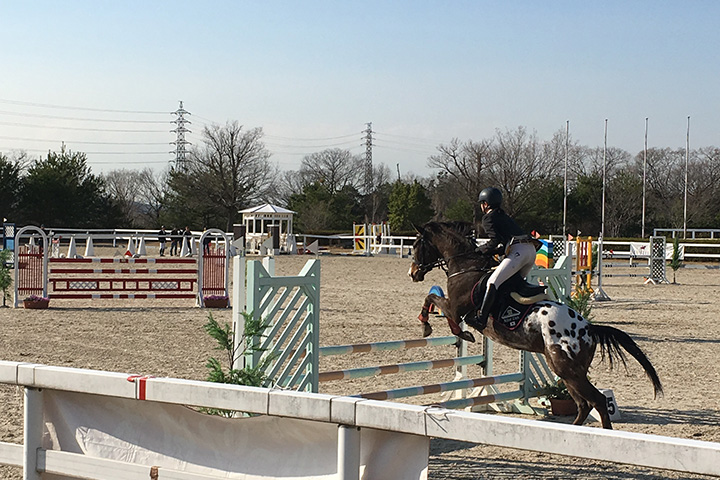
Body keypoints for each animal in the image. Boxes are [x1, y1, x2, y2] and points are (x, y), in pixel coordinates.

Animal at [407, 221, 663, 429]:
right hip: (565, 371)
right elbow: (433, 300)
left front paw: (433, 327)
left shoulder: (455, 308)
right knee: (583, 404)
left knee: (597, 400)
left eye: (417, 245)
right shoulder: (454, 308)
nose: (413, 273)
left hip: (566, 368)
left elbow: (432, 299)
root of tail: (589, 328)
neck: (466, 265)